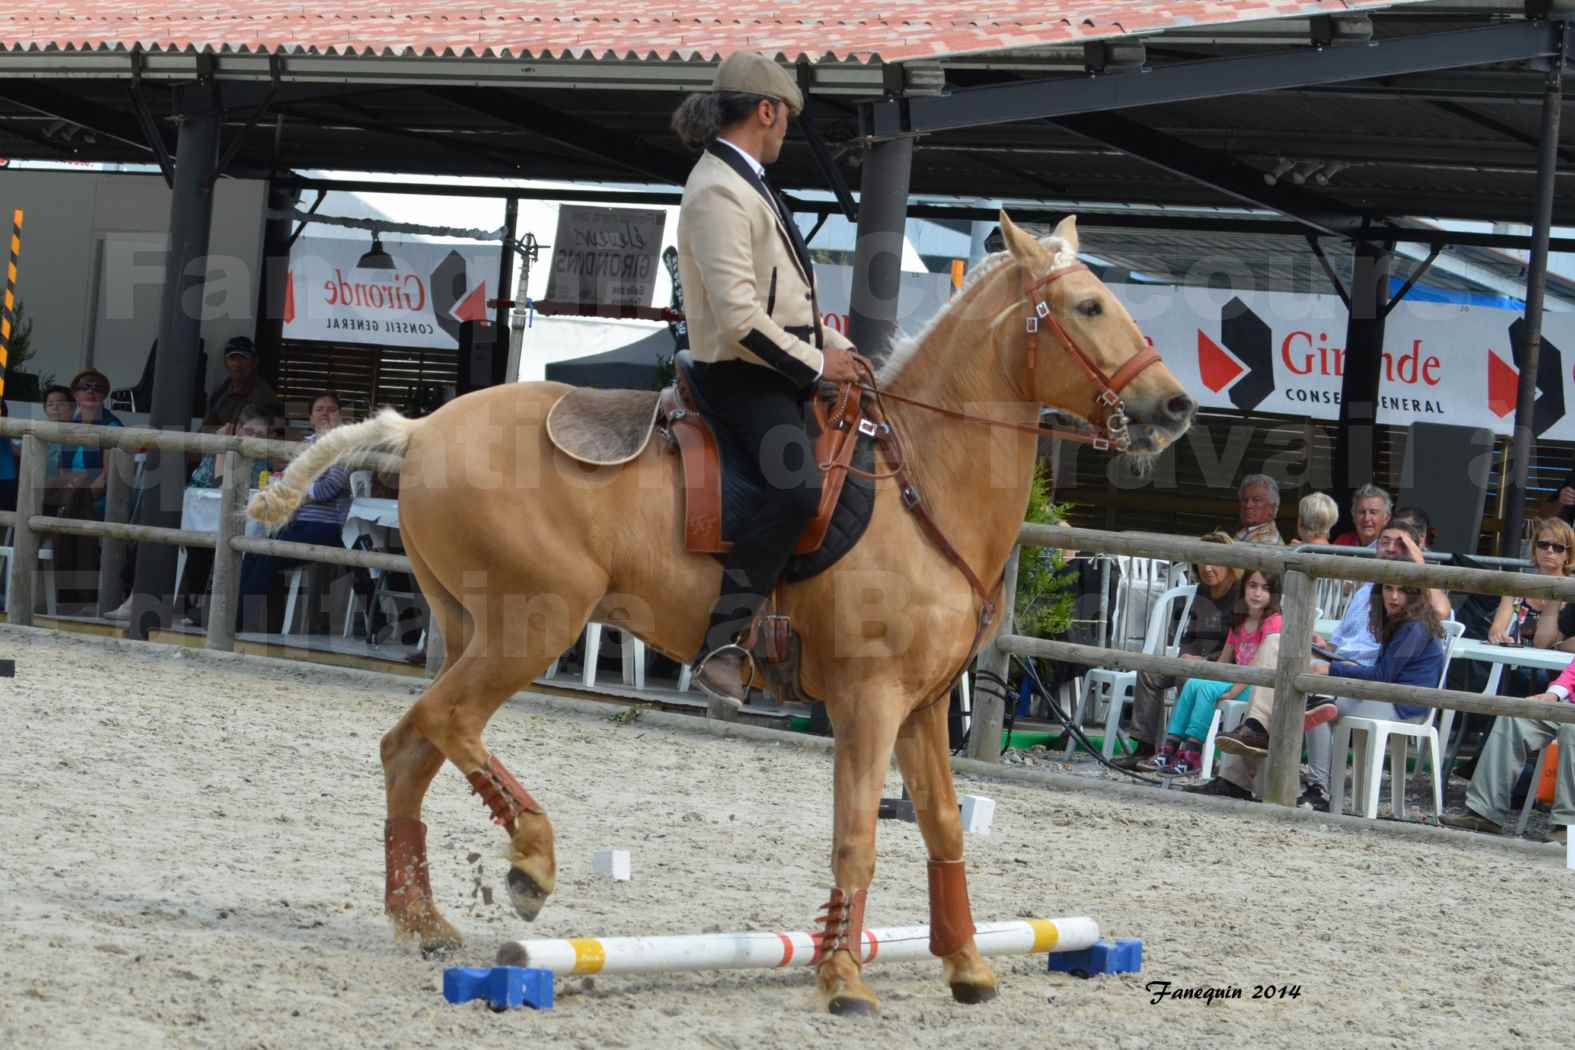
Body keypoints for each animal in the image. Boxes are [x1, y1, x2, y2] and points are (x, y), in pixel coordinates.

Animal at [252, 210, 1190, 1007]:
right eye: (1088, 306)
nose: (1174, 406)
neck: (919, 477)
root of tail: (421, 432)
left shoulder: (923, 708)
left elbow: (942, 829)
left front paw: (962, 962)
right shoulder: (869, 701)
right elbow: (857, 834)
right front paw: (841, 976)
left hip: (468, 631)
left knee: (410, 748)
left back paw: (423, 919)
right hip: (530, 628)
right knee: (446, 725)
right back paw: (531, 863)